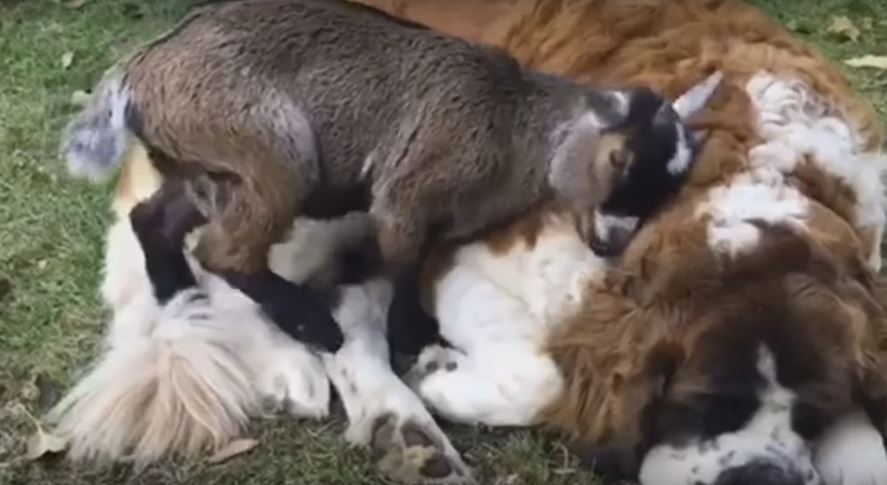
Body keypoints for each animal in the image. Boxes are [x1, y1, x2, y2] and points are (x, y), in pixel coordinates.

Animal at [64, 0, 720, 350]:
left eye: (672, 185)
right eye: (618, 159)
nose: (610, 241)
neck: (515, 127)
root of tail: (138, 71)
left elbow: (415, 258)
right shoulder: (410, 188)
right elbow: (405, 262)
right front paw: (411, 335)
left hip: (207, 164)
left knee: (156, 218)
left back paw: (178, 295)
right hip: (267, 143)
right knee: (226, 250)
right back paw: (311, 323)